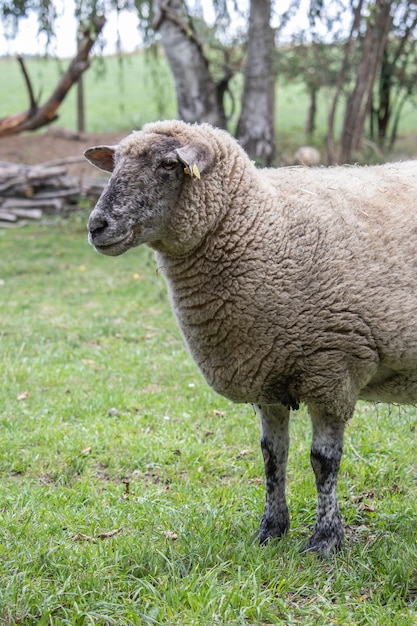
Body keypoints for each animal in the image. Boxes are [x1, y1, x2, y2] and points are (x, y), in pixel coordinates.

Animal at [84, 118, 416, 556]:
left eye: (168, 164)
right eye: (116, 161)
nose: (96, 226)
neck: (265, 225)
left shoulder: (333, 367)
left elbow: (323, 461)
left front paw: (326, 540)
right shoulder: (267, 371)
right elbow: (273, 456)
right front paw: (271, 531)